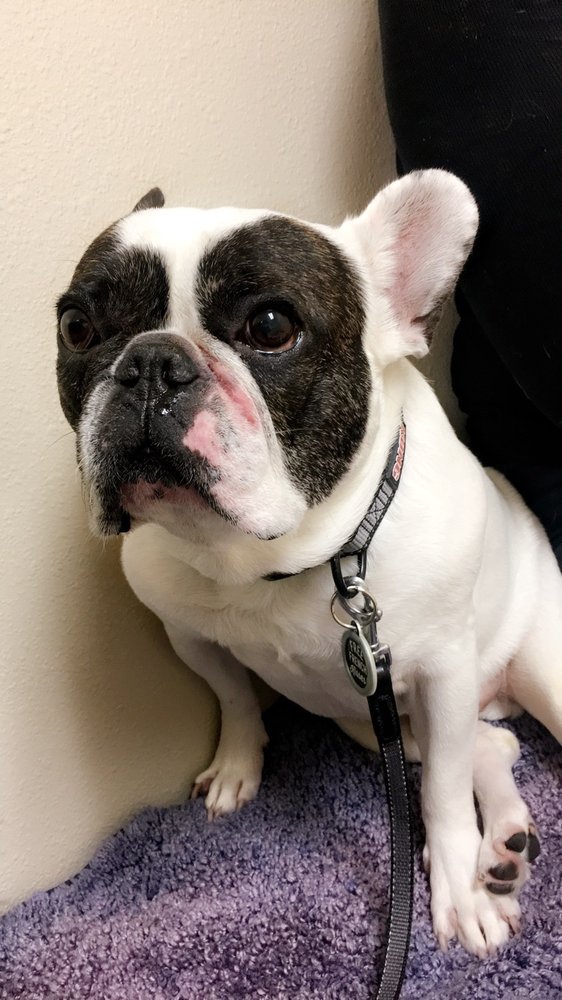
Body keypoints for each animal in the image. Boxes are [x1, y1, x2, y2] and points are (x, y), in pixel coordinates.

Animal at [56, 171, 562, 957]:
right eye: (77, 327)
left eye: (270, 327)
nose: (150, 363)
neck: (272, 561)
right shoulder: (189, 635)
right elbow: (232, 696)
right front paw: (239, 767)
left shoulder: (443, 672)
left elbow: (445, 794)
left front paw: (456, 887)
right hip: (374, 725)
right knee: (496, 745)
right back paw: (505, 843)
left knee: (473, 751)